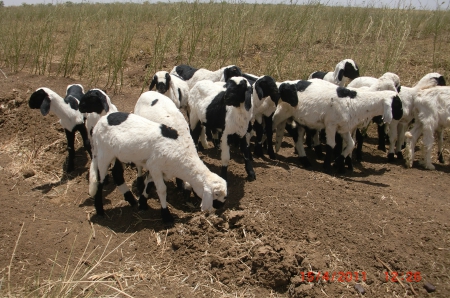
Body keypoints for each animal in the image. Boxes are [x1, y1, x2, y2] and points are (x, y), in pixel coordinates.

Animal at [89, 112, 227, 221]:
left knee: (117, 174)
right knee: (100, 181)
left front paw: (142, 204)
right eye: (216, 194)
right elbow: (161, 189)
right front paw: (166, 215)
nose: (221, 206)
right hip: (104, 154)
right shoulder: (155, 166)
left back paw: (131, 200)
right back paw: (100, 210)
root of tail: (98, 124)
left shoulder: (157, 168)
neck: (183, 156)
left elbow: (149, 183)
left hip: (118, 155)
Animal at [272, 78, 402, 173]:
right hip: (283, 112)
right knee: (273, 123)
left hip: (300, 120)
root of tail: (283, 83)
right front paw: (327, 167)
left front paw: (338, 162)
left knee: (297, 137)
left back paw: (305, 161)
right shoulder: (331, 125)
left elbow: (351, 144)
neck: (356, 103)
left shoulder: (343, 128)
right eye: (397, 103)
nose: (401, 115)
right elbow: (331, 145)